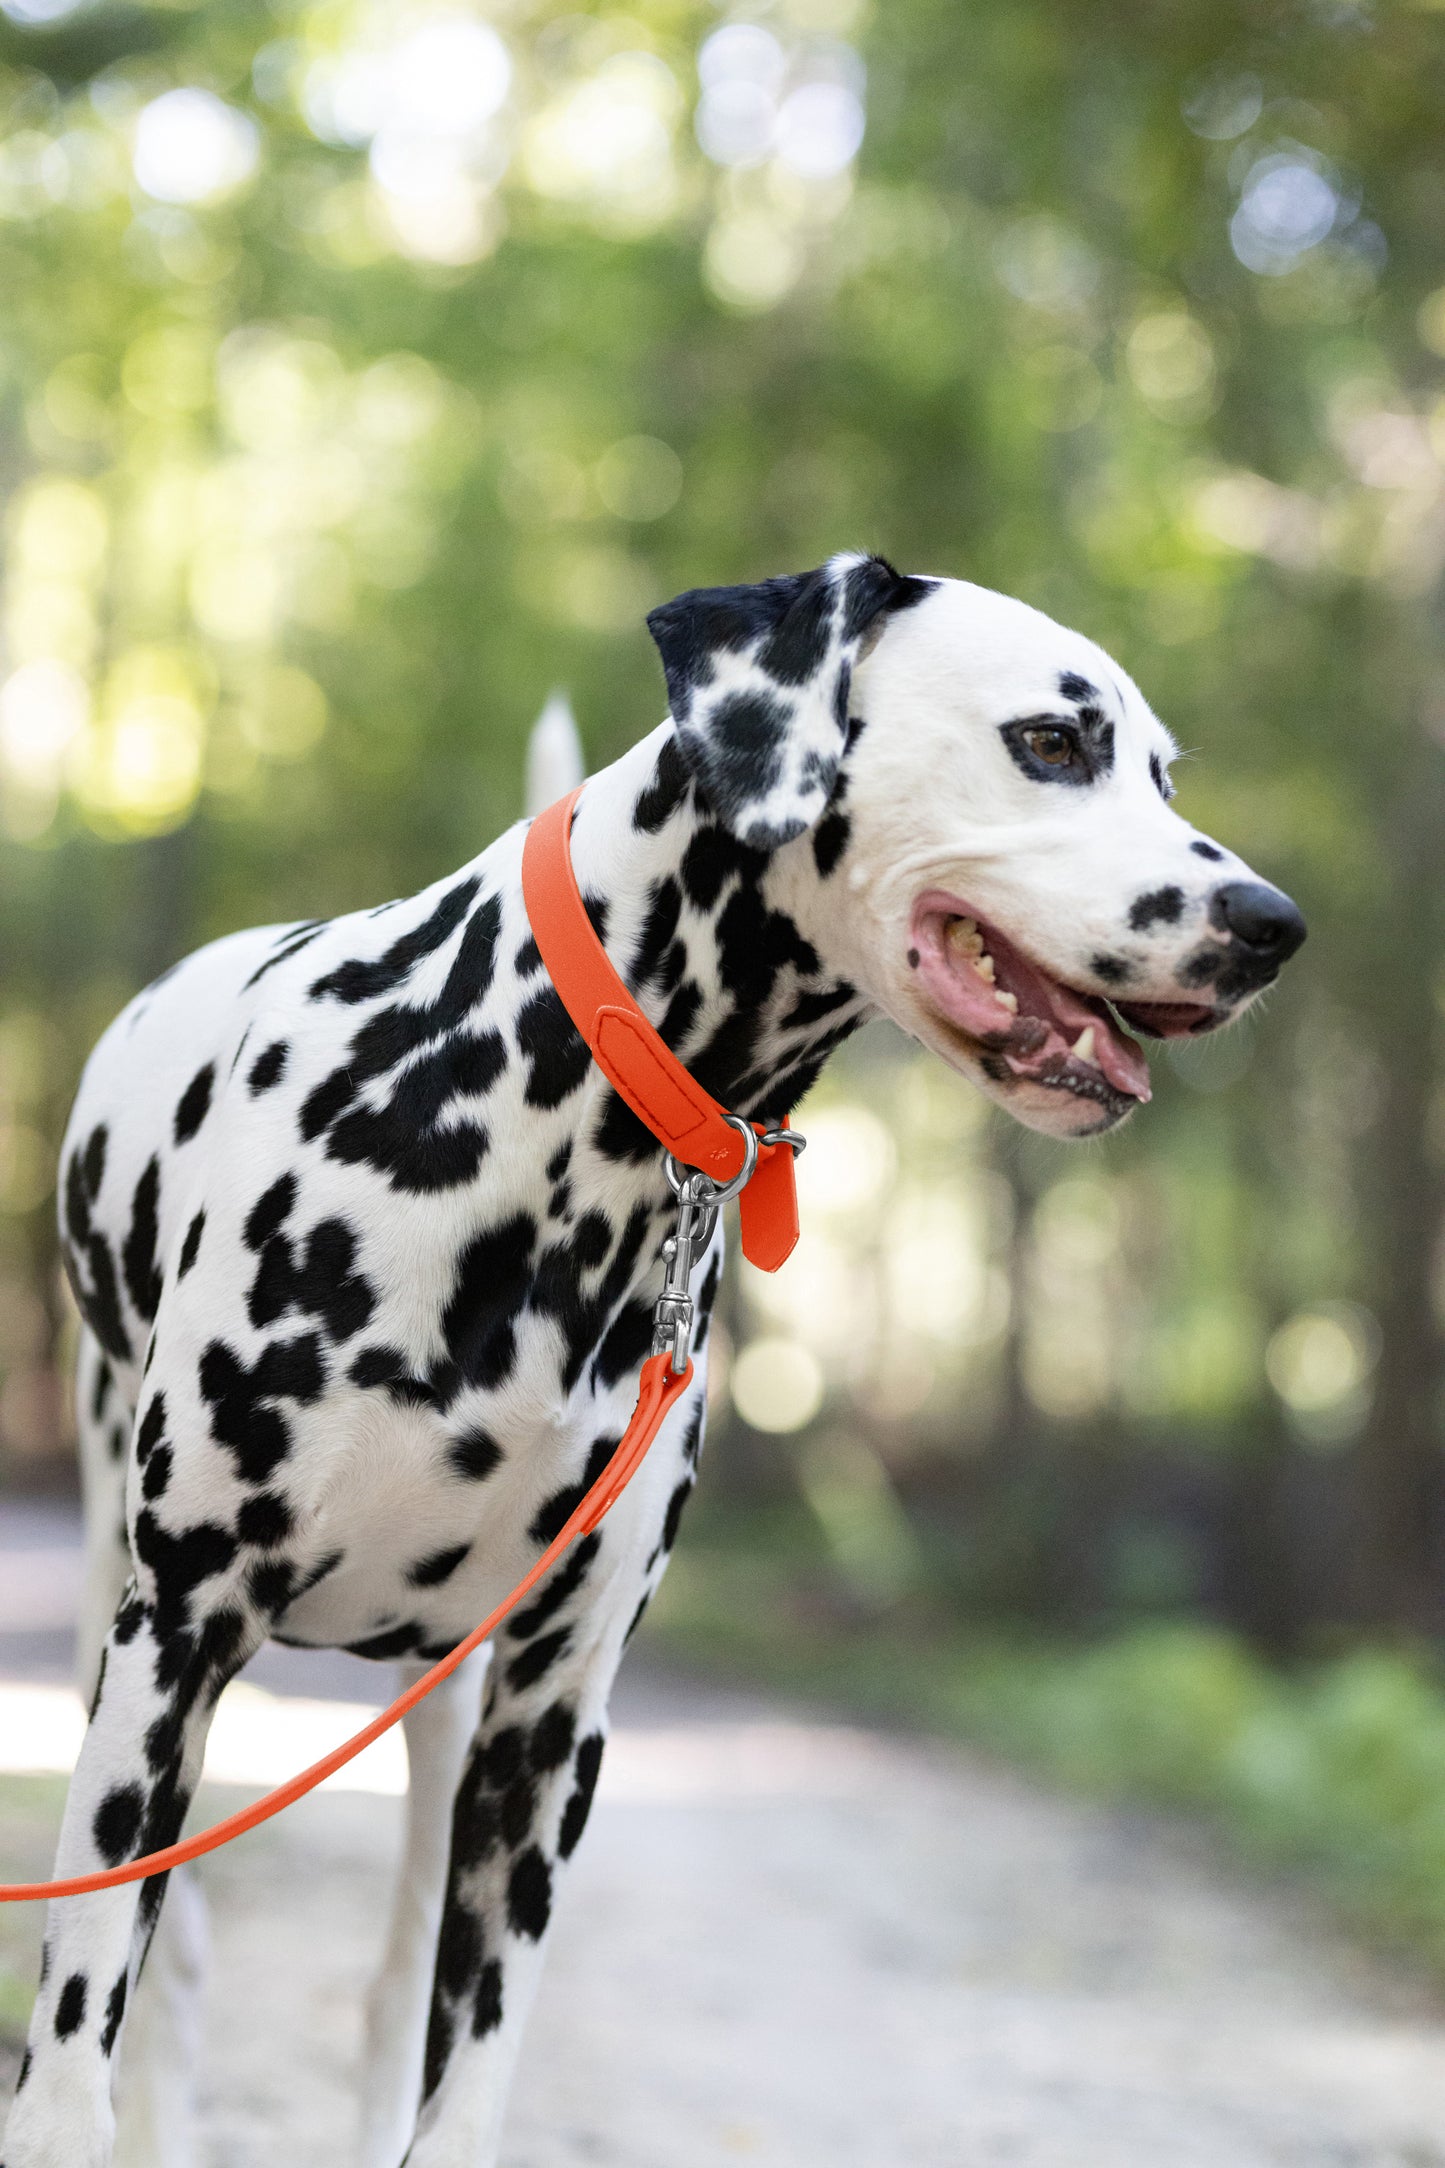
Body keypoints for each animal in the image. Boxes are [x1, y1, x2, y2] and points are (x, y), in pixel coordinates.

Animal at [2, 555, 1308, 2168]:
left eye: (1162, 770)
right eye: (1053, 742)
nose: (1271, 923)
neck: (540, 1131)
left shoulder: (551, 1720)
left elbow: (463, 2083)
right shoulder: (178, 1642)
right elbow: (75, 2054)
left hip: (445, 1709)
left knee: (387, 2000)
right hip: (123, 1632)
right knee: (169, 1987)